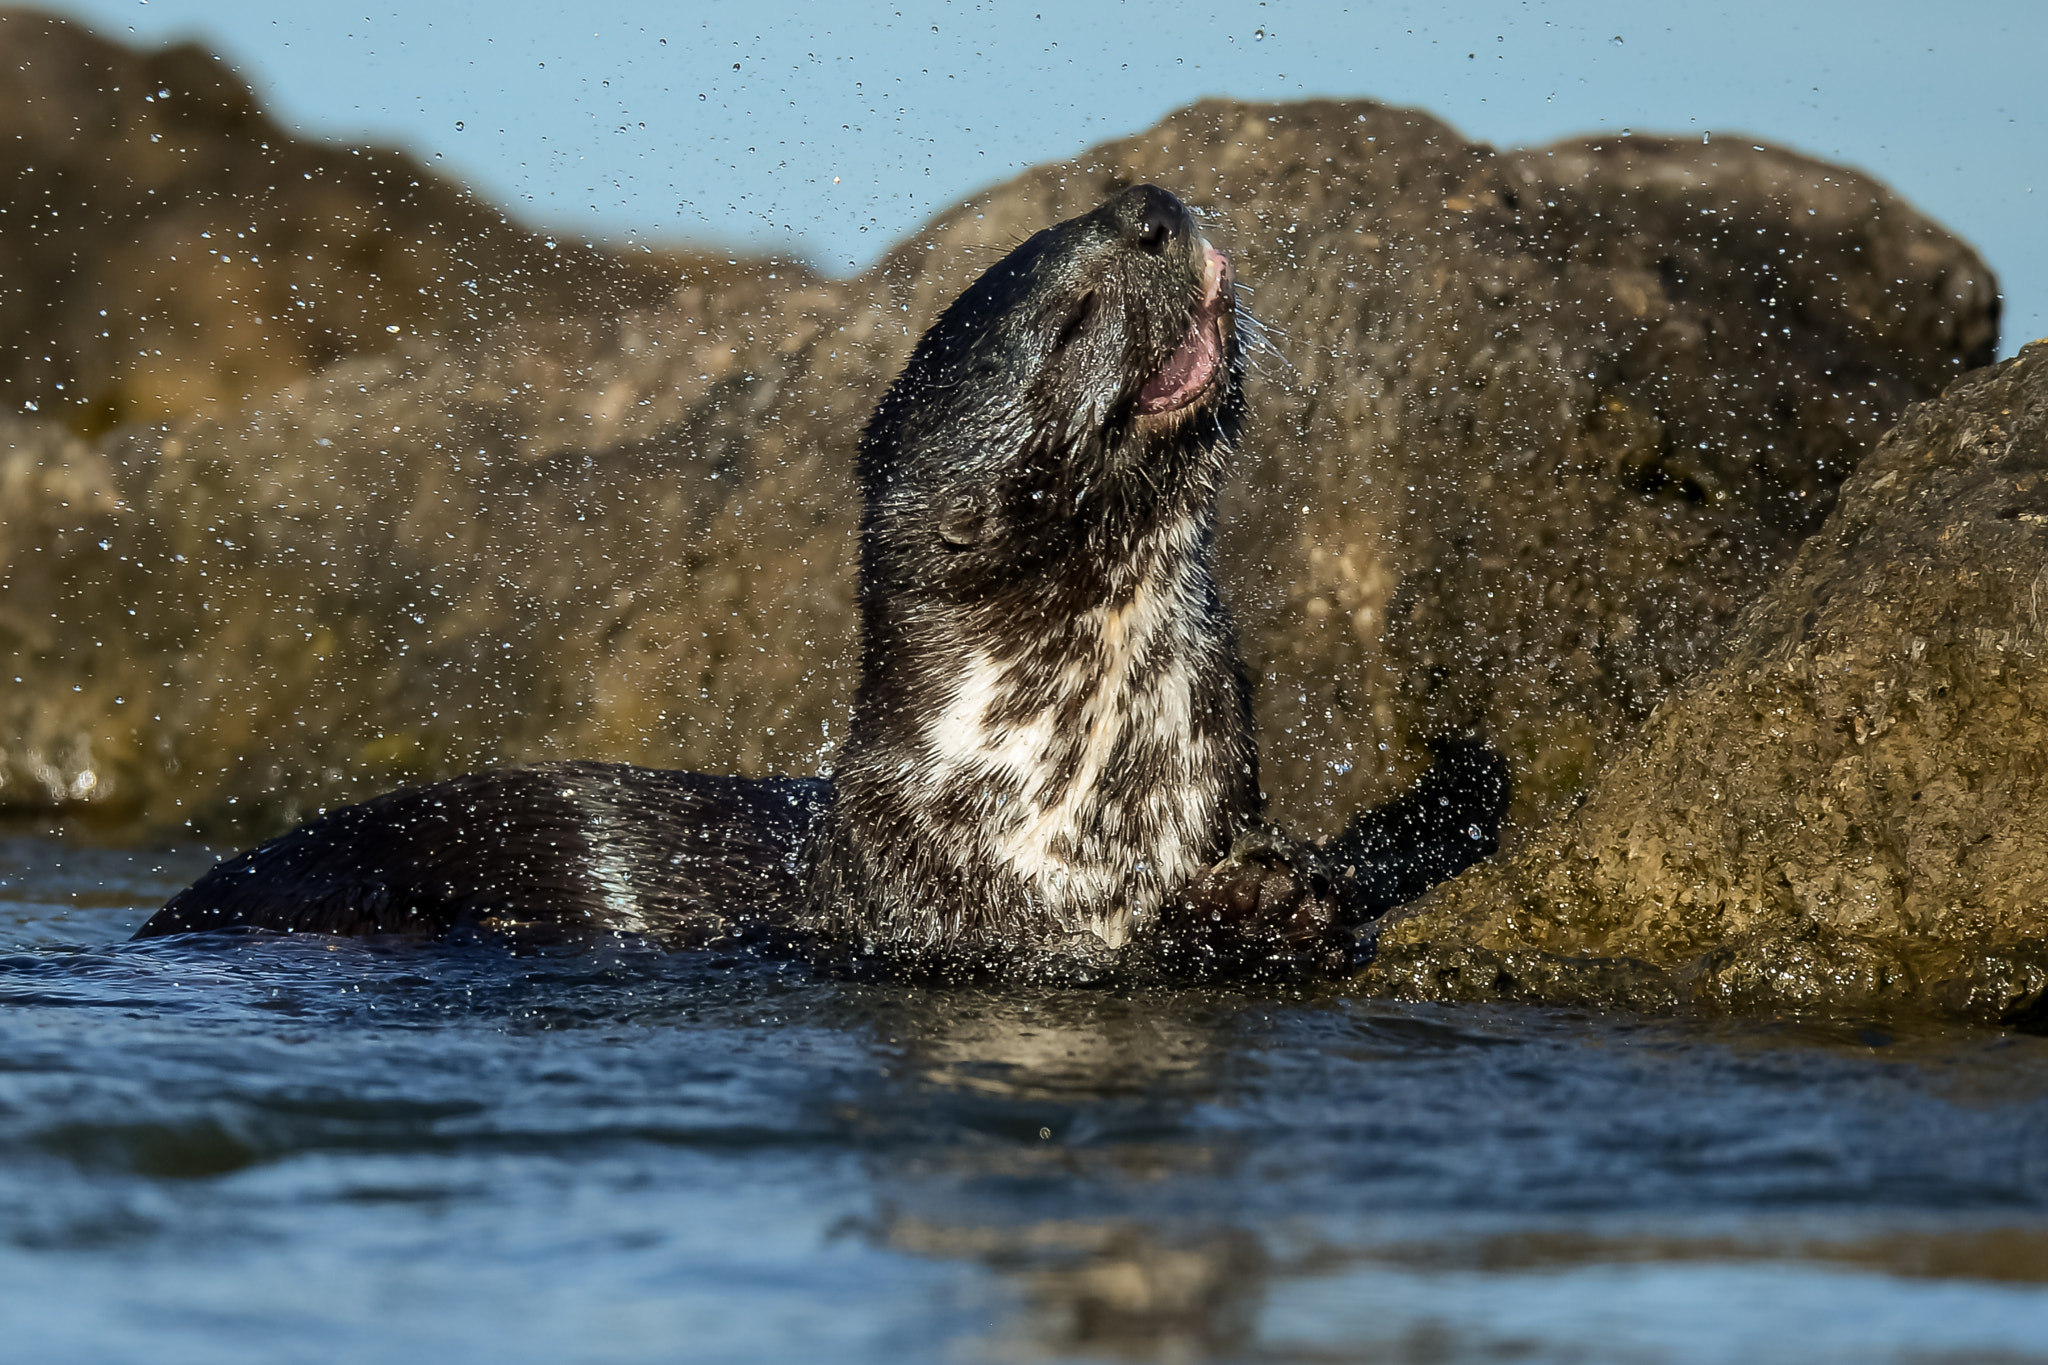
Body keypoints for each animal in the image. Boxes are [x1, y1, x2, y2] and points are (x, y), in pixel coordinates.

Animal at [137, 185, 1507, 981]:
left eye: (1104, 215)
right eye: (1068, 316)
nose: (1151, 208)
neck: (1082, 781)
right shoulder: (962, 920)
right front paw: (1256, 911)